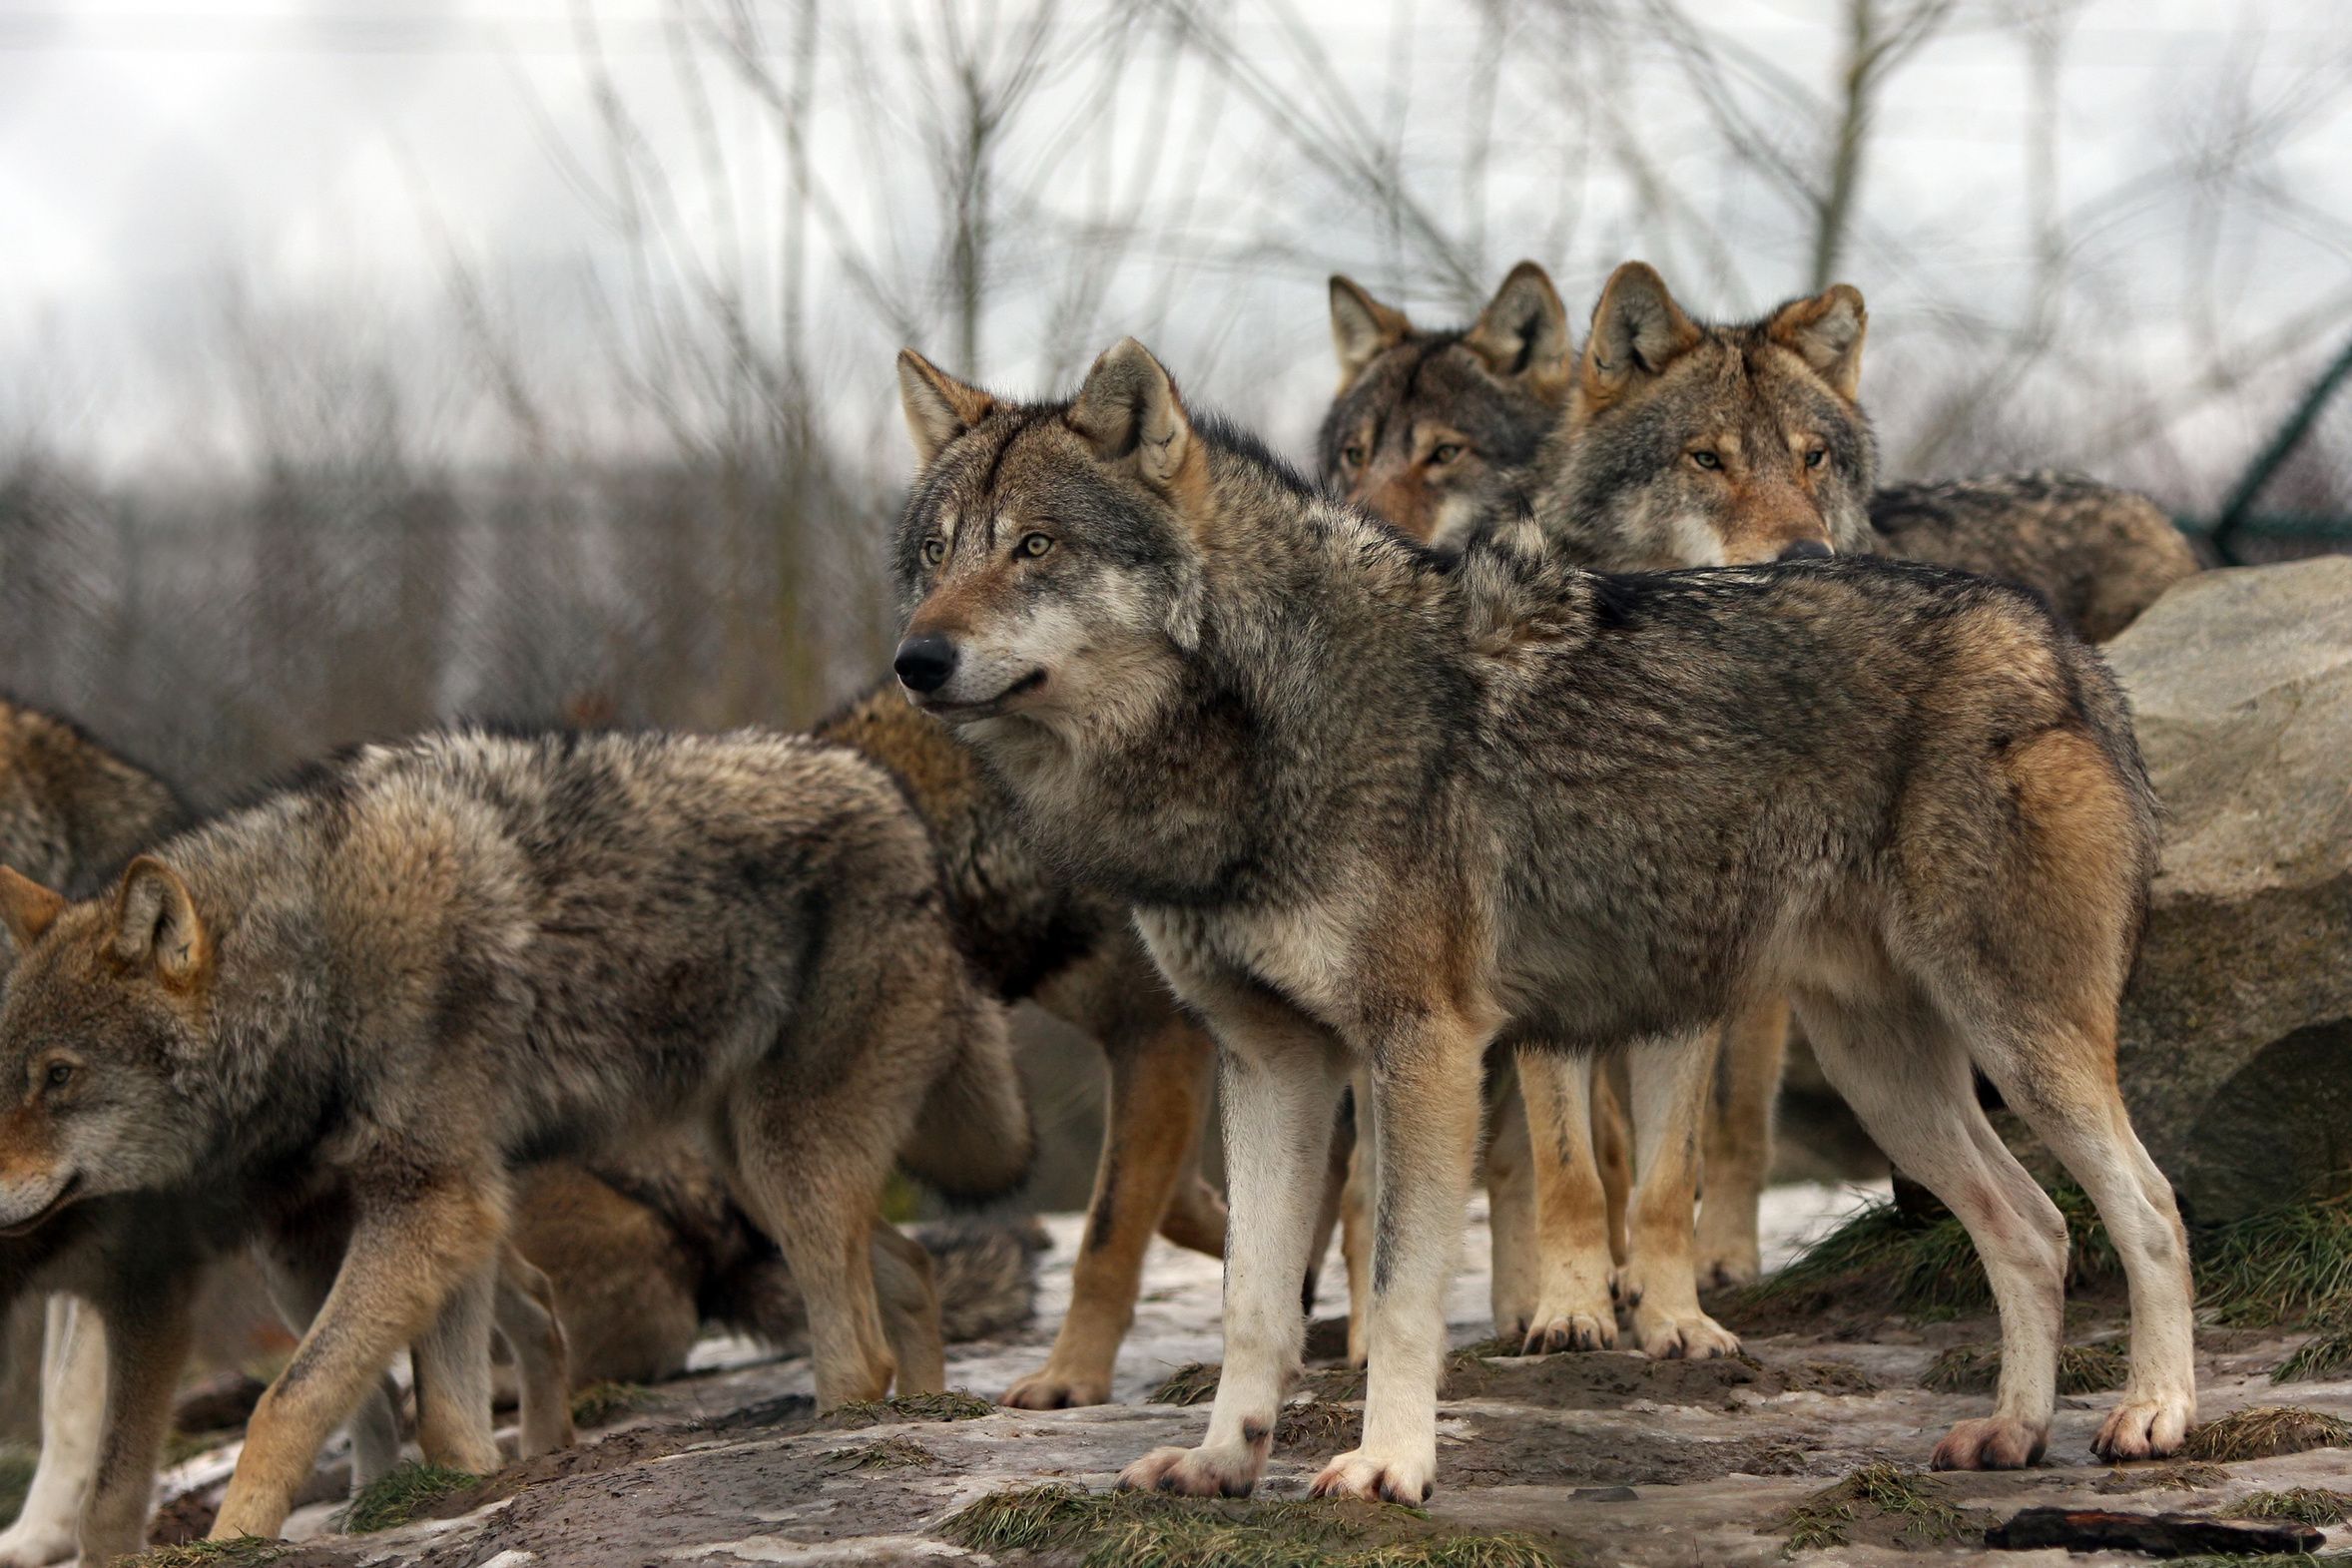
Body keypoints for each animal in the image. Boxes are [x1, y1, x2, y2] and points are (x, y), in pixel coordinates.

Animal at [0, 726, 1027, 1553]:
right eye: (8, 1072)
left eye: (60, 1076)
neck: (316, 964)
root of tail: (897, 805)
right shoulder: (396, 1211)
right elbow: (418, 1410)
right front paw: (450, 1496)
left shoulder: (432, 1199)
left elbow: (288, 1400)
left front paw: (237, 1537)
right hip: (750, 1166)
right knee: (909, 1266)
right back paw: (934, 1410)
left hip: (782, 1157)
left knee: (856, 1341)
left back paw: (853, 1420)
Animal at [887, 338, 2195, 1502]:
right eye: (939, 551)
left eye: (1037, 545)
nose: (915, 658)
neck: (1259, 722)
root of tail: (2062, 647)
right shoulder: (1270, 1064)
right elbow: (1255, 1300)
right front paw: (1220, 1461)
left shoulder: (1421, 1049)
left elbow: (1400, 1286)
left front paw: (1387, 1467)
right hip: (1889, 1074)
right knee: (2033, 1227)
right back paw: (2010, 1432)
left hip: (2019, 1045)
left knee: (2149, 1207)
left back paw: (2152, 1415)